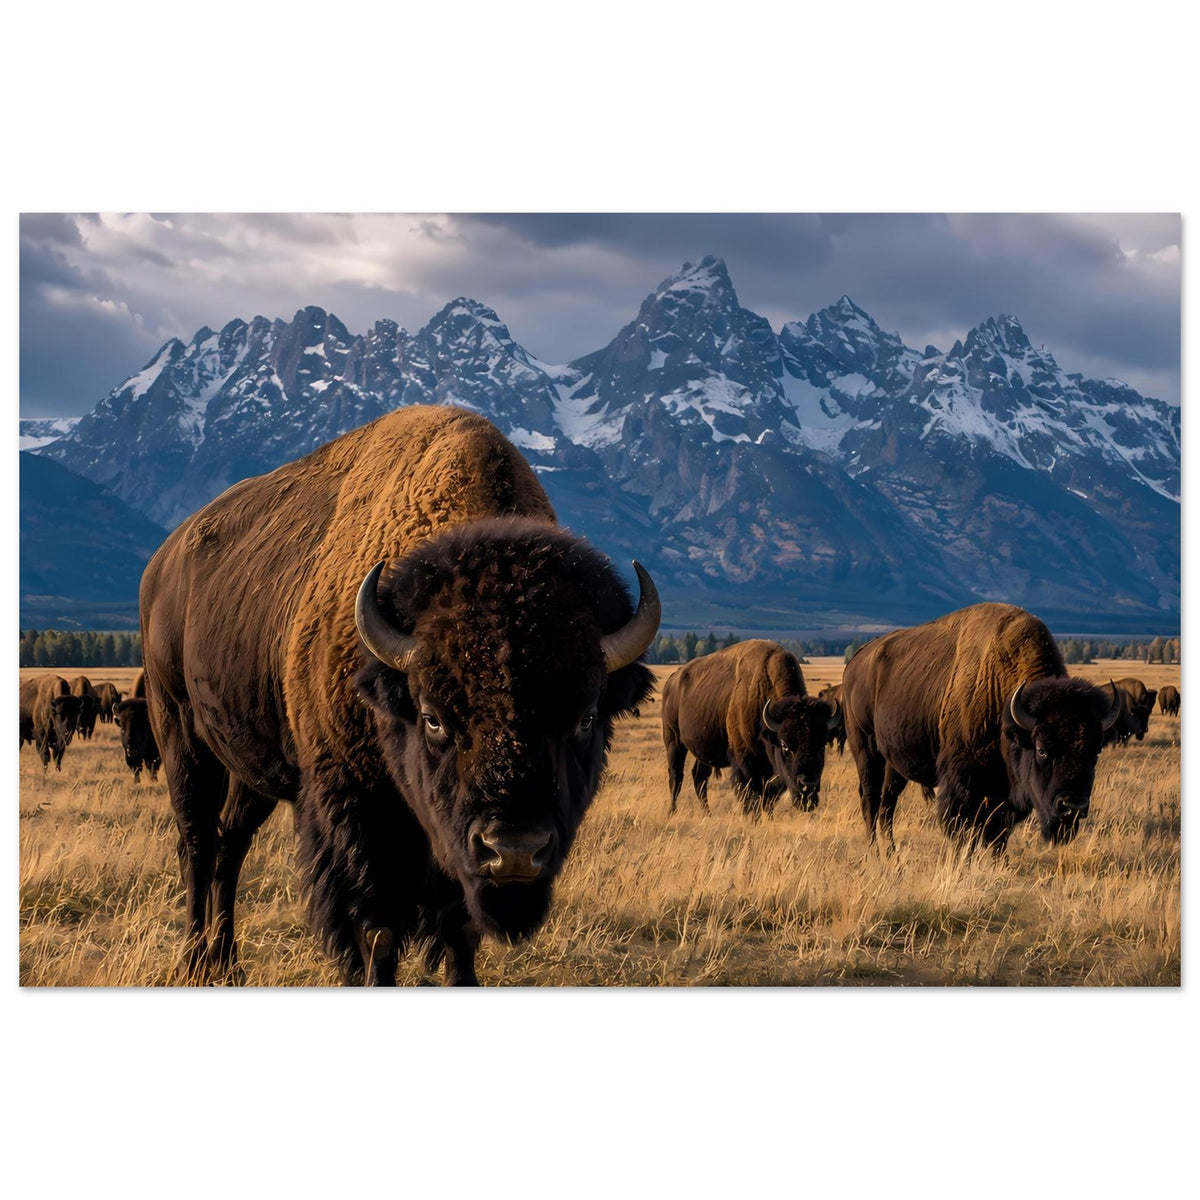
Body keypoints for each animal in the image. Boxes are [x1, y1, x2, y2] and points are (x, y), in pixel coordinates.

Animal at [139, 405, 658, 986]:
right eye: (433, 718)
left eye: (586, 717)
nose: (515, 852)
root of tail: (162, 562)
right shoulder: (357, 812)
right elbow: (377, 928)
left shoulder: (449, 845)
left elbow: (459, 928)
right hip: (178, 728)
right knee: (197, 842)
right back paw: (193, 961)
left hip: (252, 763)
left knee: (231, 843)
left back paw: (227, 964)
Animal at [661, 639, 838, 815]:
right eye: (785, 746)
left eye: (822, 745)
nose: (808, 786)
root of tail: (673, 679)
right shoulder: (745, 763)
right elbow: (751, 798)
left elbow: (768, 799)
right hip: (673, 740)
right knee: (676, 775)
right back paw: (672, 812)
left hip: (703, 748)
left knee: (699, 777)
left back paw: (707, 814)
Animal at [841, 603, 1122, 854]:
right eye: (1042, 749)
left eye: (1095, 751)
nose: (1072, 806)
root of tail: (857, 659)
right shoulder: (963, 782)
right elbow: (964, 830)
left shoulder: (1003, 792)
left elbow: (997, 834)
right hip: (865, 748)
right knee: (870, 798)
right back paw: (875, 853)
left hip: (895, 763)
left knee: (887, 803)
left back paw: (892, 855)